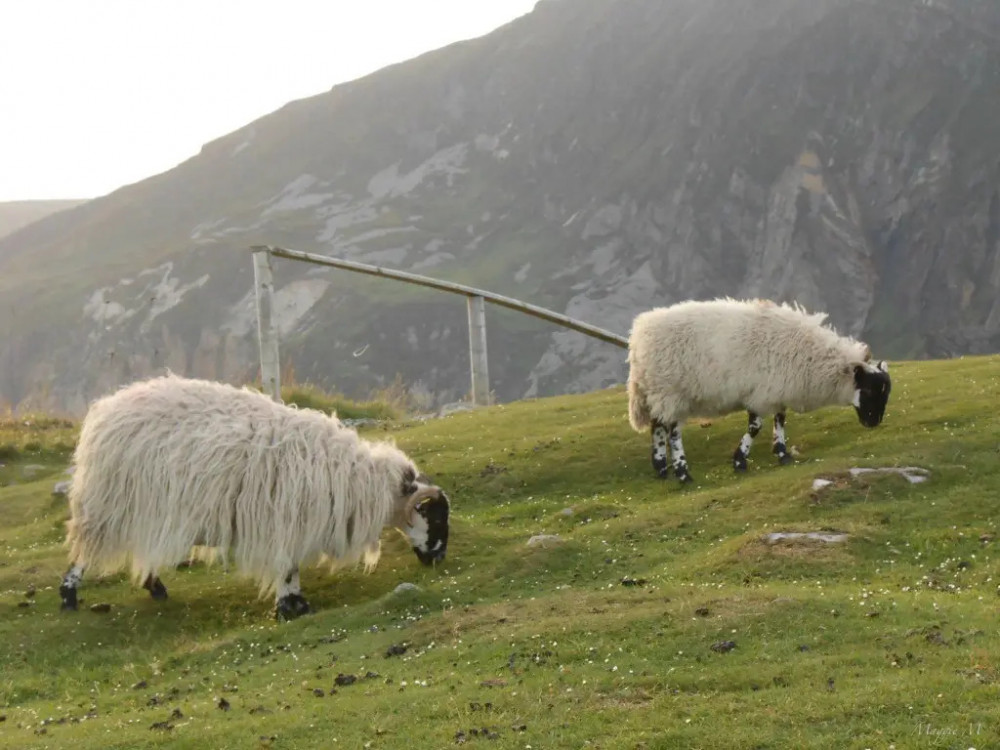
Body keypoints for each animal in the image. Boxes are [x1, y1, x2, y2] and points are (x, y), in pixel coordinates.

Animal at [58, 376, 450, 624]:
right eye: (435, 517)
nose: (439, 559)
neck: (357, 481)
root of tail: (105, 410)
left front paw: (292, 604)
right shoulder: (285, 523)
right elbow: (288, 567)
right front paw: (293, 606)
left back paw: (154, 587)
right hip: (110, 504)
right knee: (84, 552)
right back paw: (69, 595)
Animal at [628, 298, 896, 482]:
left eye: (885, 394)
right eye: (869, 391)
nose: (873, 423)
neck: (812, 358)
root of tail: (639, 335)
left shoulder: (777, 389)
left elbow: (780, 419)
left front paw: (782, 453)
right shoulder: (762, 393)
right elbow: (756, 427)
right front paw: (740, 460)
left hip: (658, 392)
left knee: (657, 426)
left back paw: (661, 467)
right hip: (672, 391)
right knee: (672, 431)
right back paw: (683, 472)